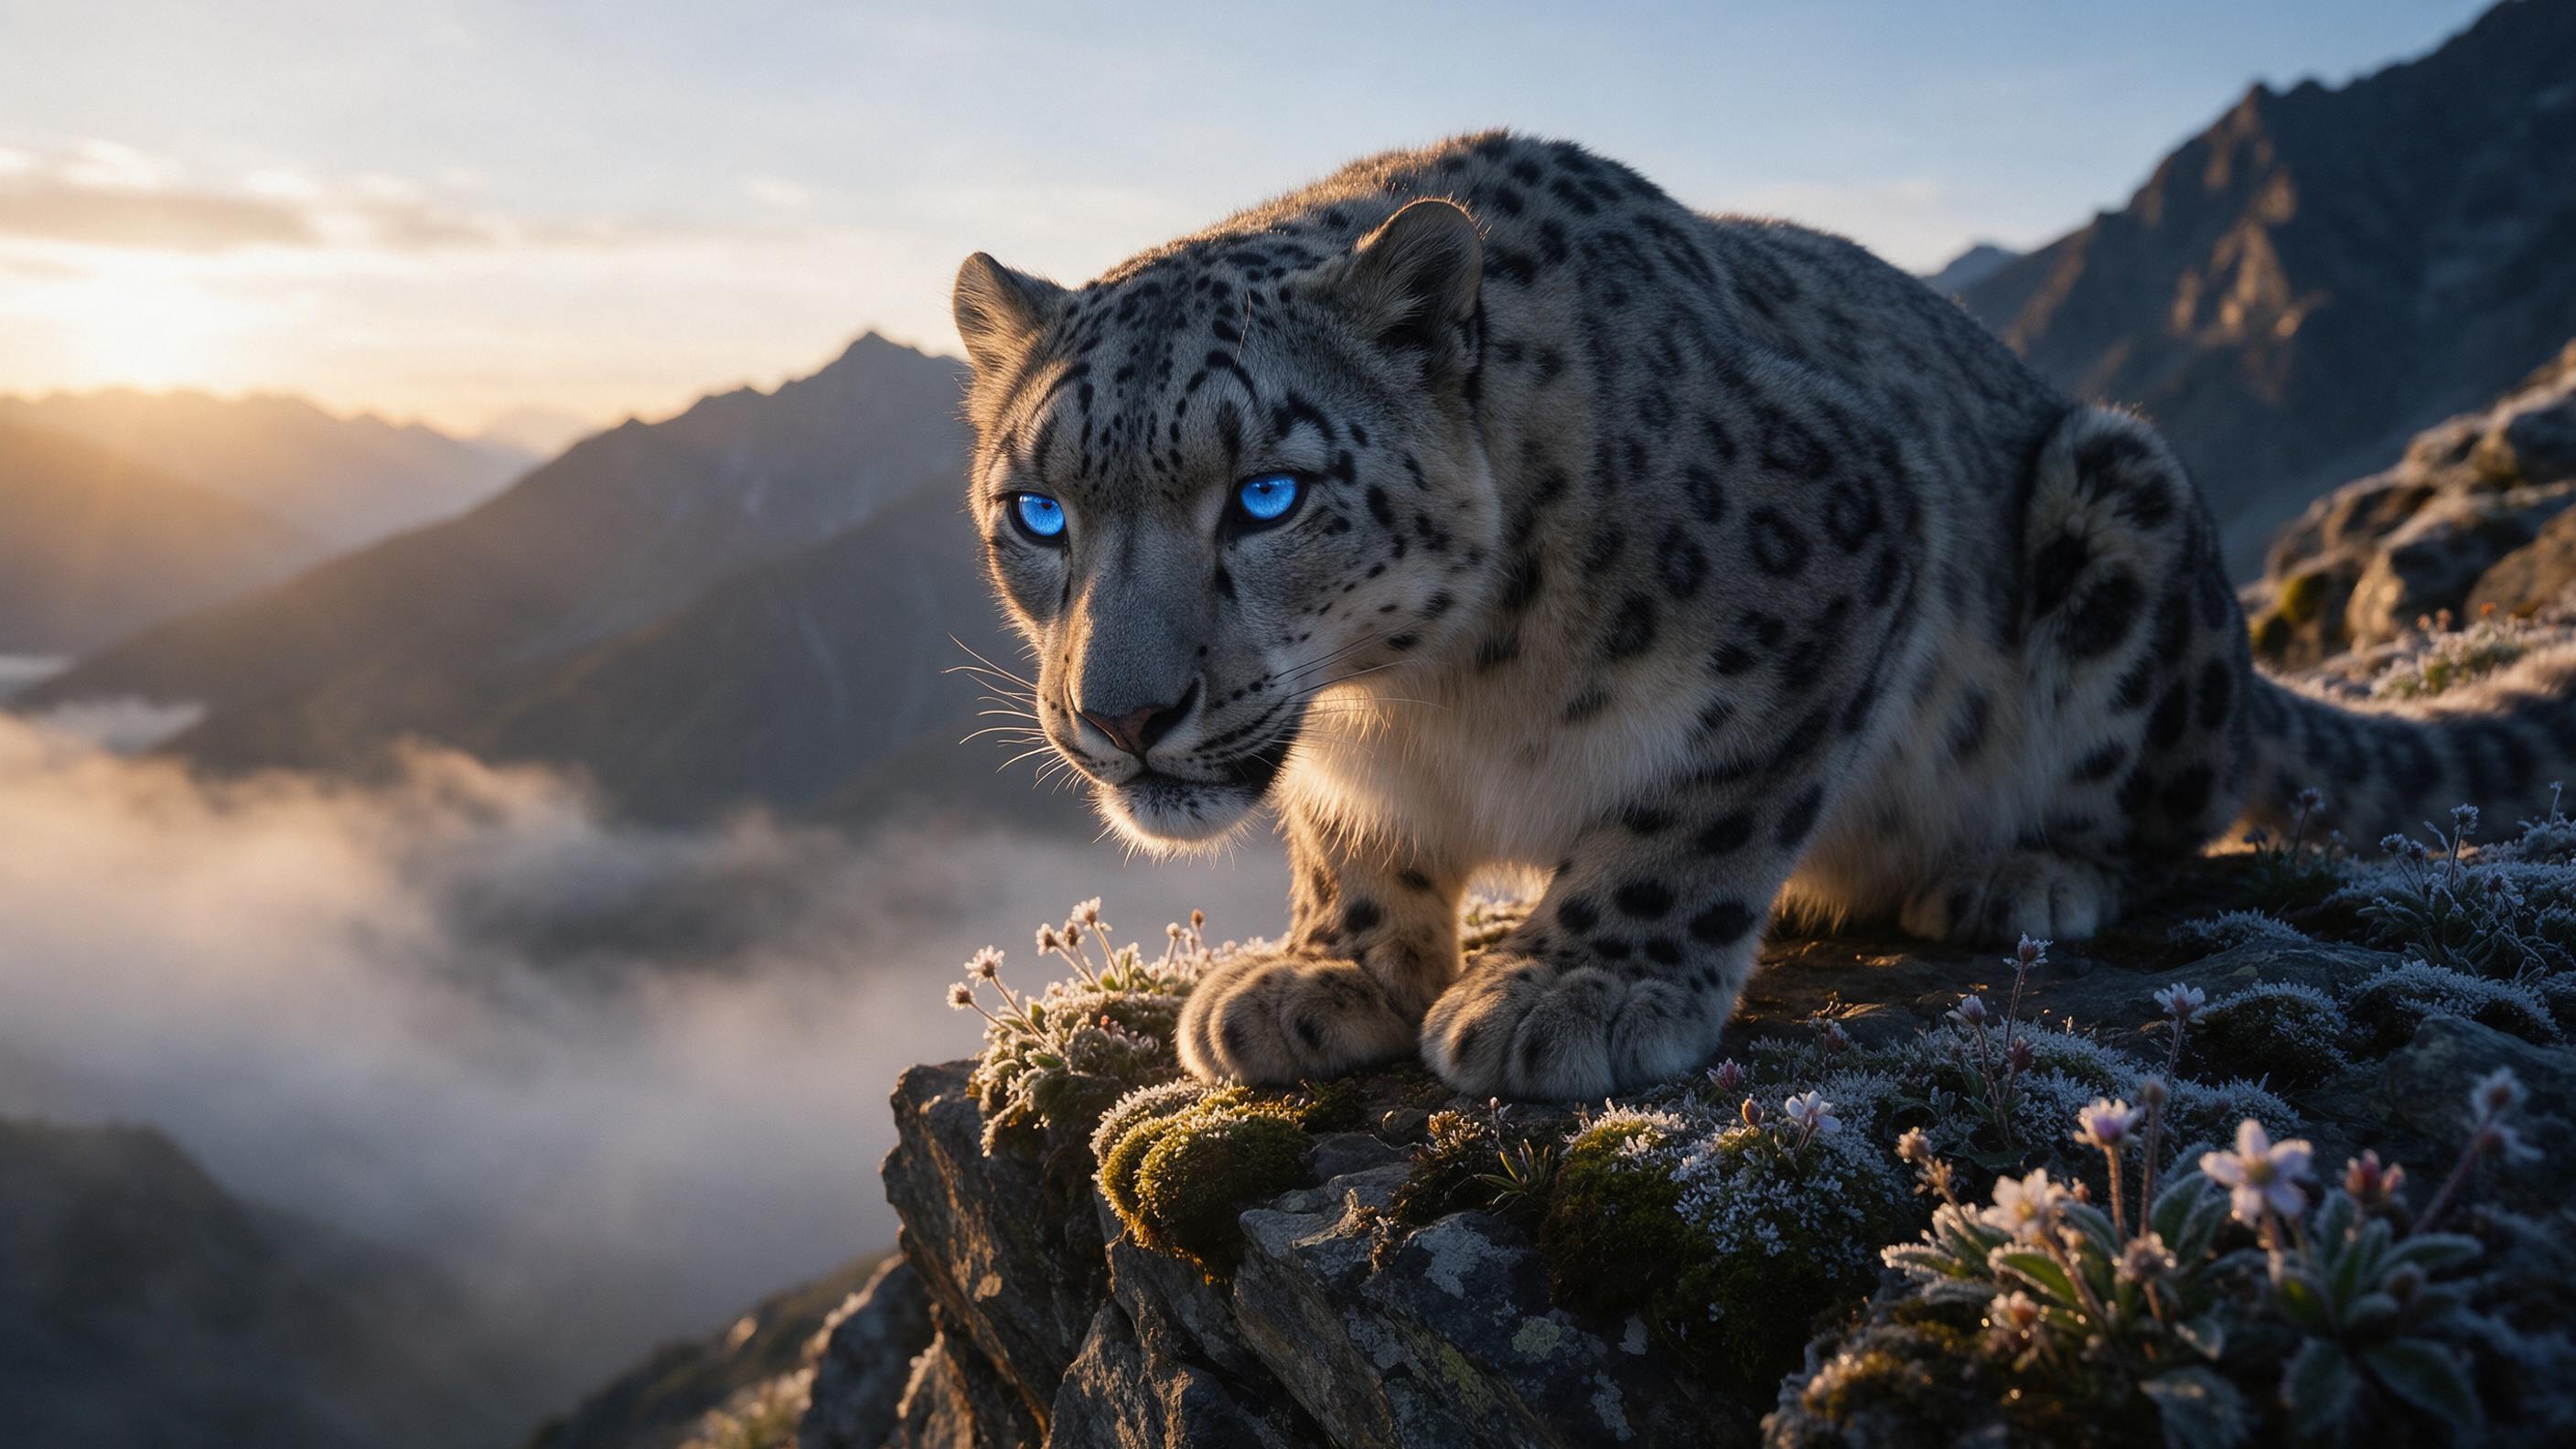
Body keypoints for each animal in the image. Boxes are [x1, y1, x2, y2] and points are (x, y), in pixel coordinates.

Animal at [948, 131, 2576, 1100]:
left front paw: (1578, 988)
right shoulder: (1357, 768)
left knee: (2170, 809)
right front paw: (1325, 973)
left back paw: (2019, 873)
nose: (1121, 715)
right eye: (1039, 513)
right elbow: (1353, 840)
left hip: (2123, 504)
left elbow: (1690, 814)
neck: (1414, 702)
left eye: (1268, 495)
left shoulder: (1839, 557)